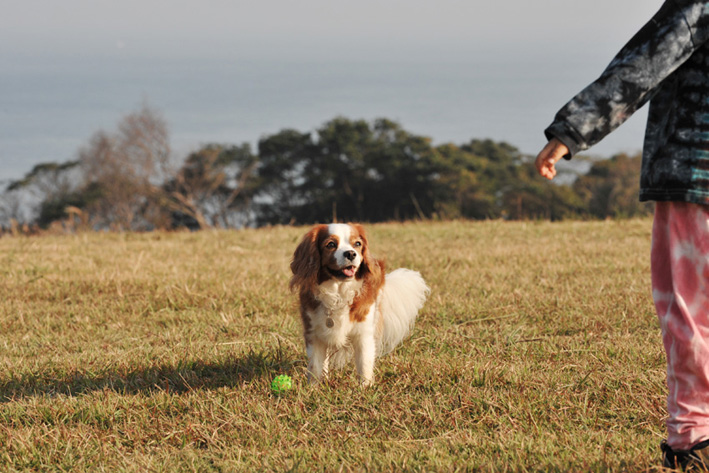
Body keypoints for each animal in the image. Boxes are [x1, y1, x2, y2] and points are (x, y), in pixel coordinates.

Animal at [286, 223, 426, 386]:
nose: (351, 254)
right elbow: (315, 365)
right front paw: (314, 387)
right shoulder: (313, 332)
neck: (338, 293)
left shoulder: (364, 332)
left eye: (357, 244)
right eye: (331, 244)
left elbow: (364, 363)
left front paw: (365, 387)